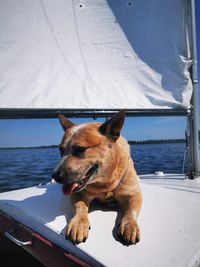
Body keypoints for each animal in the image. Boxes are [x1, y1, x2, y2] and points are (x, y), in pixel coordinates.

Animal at [52, 110, 142, 245]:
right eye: (61, 151)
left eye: (80, 149)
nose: (55, 176)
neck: (105, 184)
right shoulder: (78, 193)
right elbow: (80, 206)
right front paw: (78, 223)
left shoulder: (133, 193)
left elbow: (131, 210)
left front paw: (129, 225)